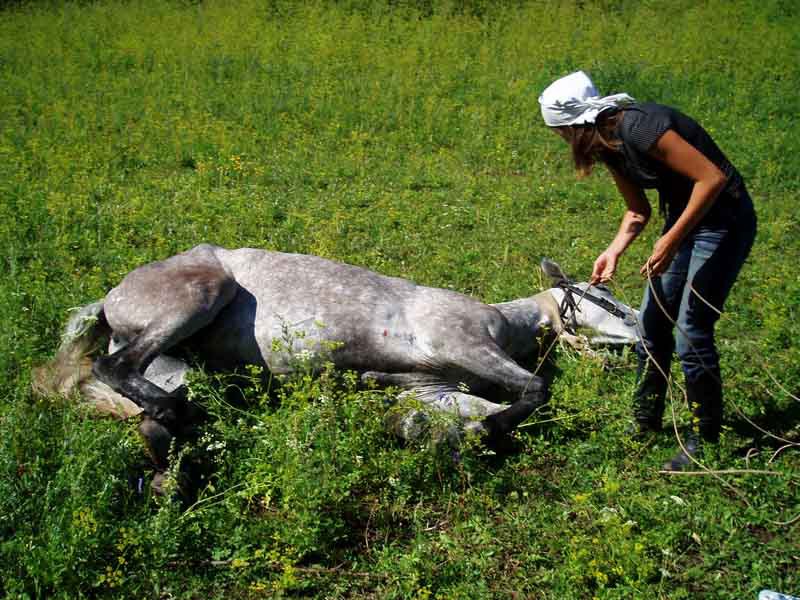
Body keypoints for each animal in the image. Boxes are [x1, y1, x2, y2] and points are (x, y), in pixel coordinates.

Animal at [34, 241, 640, 472]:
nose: (644, 339)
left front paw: (459, 436)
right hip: (198, 295)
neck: (501, 320)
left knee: (144, 400)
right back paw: (176, 417)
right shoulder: (461, 342)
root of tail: (109, 301)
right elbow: (536, 391)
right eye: (606, 299)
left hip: (179, 366)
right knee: (116, 370)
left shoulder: (436, 388)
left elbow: (490, 411)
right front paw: (480, 436)